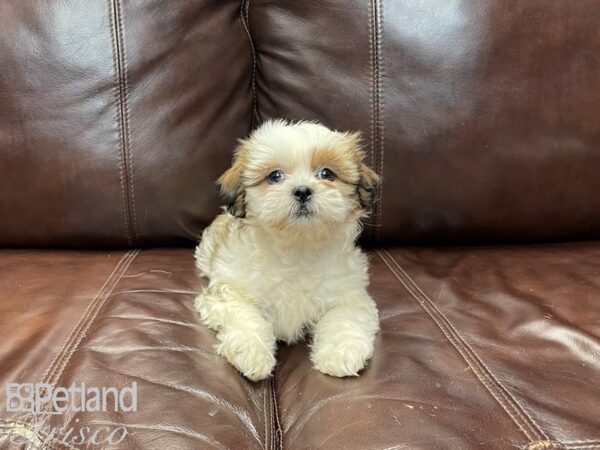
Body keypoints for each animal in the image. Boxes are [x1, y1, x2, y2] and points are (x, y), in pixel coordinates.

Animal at [195, 118, 380, 380]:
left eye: (326, 173)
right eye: (275, 176)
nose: (302, 190)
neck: (297, 246)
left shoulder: (350, 294)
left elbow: (344, 318)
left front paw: (341, 353)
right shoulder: (229, 290)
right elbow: (244, 316)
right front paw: (251, 351)